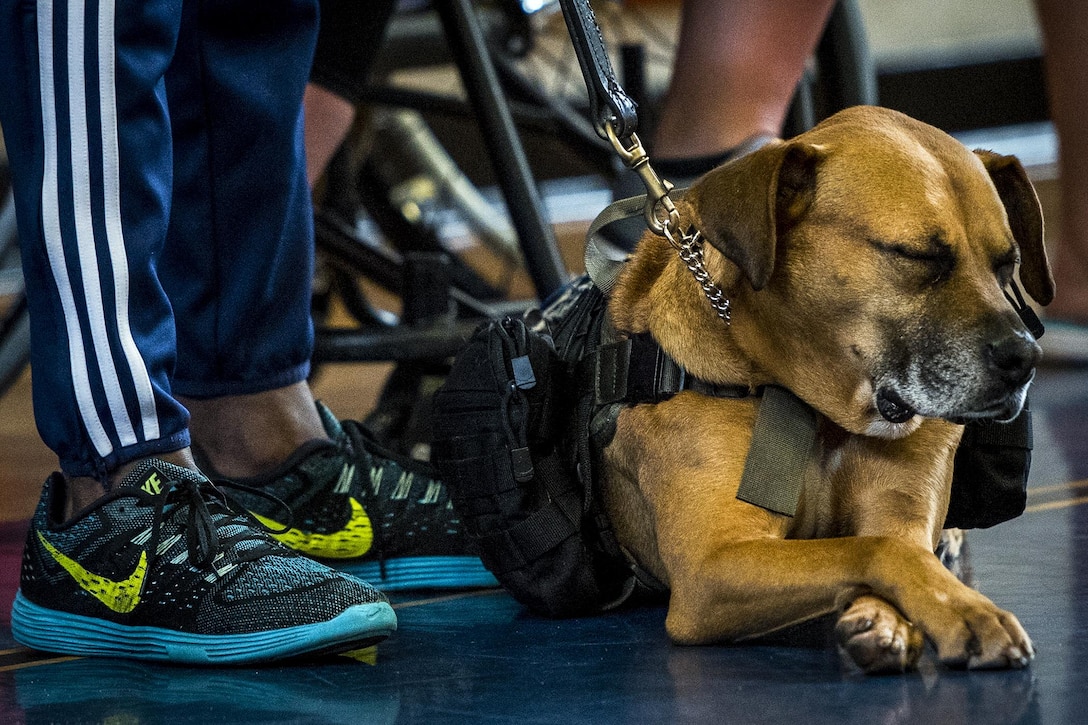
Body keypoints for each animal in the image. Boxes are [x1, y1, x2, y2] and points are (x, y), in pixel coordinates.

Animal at [604, 102, 1053, 670]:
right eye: (918, 256)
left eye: (1007, 265)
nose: (1026, 358)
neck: (824, 412)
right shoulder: (711, 566)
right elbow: (879, 549)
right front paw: (966, 612)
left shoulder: (899, 509)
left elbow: (902, 550)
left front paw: (900, 613)